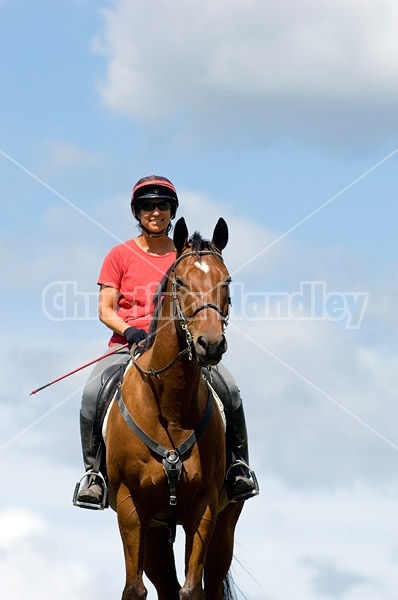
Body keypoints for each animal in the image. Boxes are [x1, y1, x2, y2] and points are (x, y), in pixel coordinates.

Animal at [104, 217, 244, 600]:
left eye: (226, 281)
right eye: (180, 282)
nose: (210, 344)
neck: (169, 407)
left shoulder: (205, 506)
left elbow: (192, 590)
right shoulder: (130, 507)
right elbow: (134, 590)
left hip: (225, 527)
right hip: (154, 531)